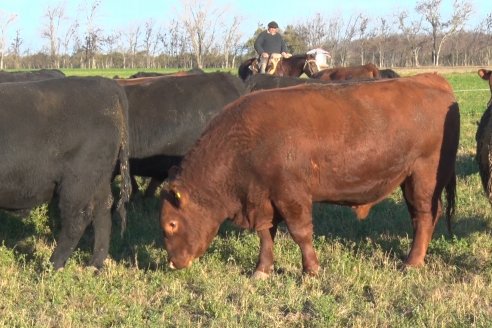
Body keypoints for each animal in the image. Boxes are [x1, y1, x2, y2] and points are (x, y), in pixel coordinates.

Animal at [0, 76, 131, 270]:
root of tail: (106, 83)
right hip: (98, 179)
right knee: (103, 209)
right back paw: (95, 264)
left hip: (78, 181)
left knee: (76, 219)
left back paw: (53, 265)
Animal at [160, 73, 460, 278]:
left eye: (171, 224)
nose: (173, 262)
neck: (242, 142)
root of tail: (431, 80)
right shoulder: (263, 200)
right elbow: (266, 235)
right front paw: (262, 270)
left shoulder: (291, 195)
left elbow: (301, 233)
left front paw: (311, 269)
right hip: (409, 181)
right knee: (422, 218)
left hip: (423, 179)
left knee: (424, 217)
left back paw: (412, 262)